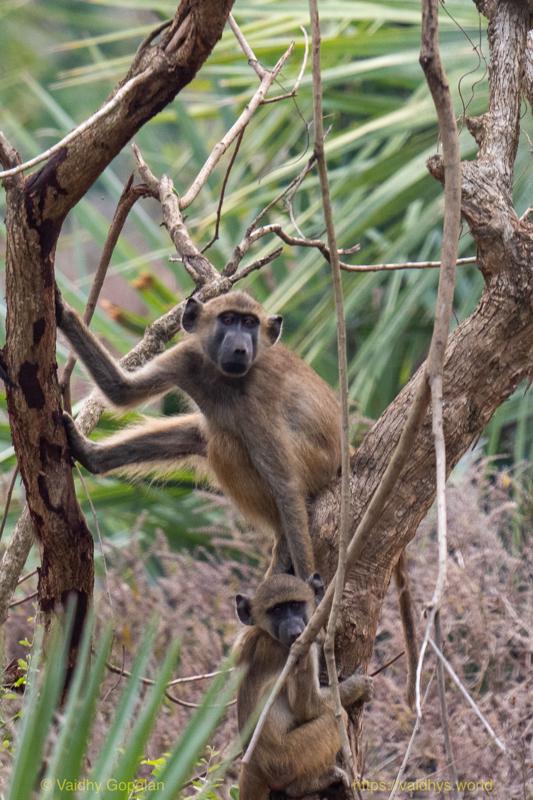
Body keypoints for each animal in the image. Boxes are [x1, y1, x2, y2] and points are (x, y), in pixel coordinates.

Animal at [55, 289, 342, 580]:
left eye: (250, 323)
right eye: (228, 319)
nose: (240, 348)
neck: (221, 375)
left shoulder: (258, 397)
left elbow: (285, 485)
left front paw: (310, 585)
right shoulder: (186, 356)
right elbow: (121, 390)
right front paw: (62, 310)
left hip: (314, 463)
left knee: (227, 443)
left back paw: (282, 541)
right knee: (201, 435)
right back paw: (92, 457)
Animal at [234, 573, 373, 800]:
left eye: (295, 605)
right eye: (277, 610)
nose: (294, 629)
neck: (266, 634)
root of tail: (252, 766)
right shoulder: (303, 647)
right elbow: (308, 706)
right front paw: (360, 686)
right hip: (285, 761)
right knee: (337, 717)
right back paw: (308, 784)